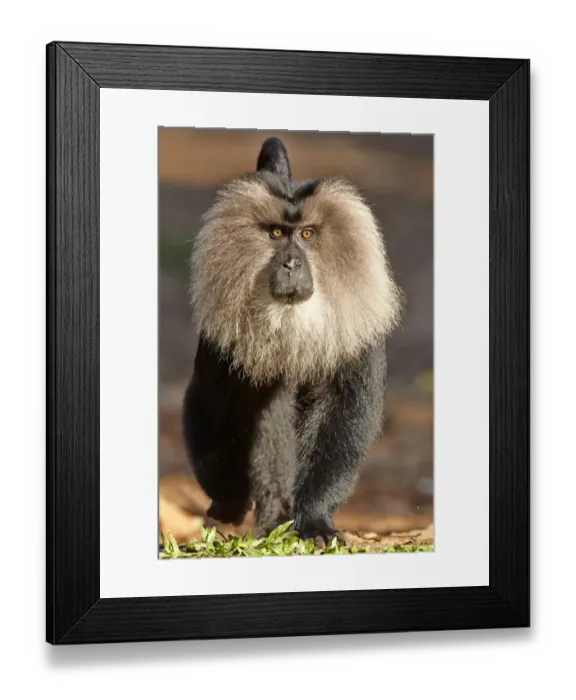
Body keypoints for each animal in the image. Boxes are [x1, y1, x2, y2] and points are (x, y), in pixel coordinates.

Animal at [182, 136, 402, 546]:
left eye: (307, 235)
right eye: (276, 234)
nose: (290, 264)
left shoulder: (355, 342)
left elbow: (340, 421)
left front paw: (314, 521)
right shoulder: (221, 348)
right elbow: (211, 410)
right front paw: (229, 505)